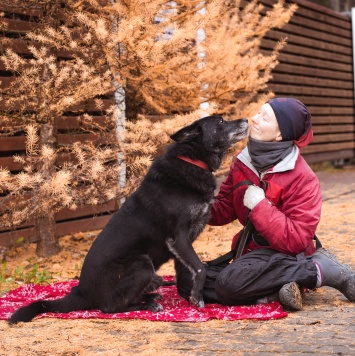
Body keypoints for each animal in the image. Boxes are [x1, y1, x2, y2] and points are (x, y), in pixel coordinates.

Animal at [8, 115, 248, 324]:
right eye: (220, 122)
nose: (245, 119)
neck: (192, 160)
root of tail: (81, 291)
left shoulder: (182, 245)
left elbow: (184, 272)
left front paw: (191, 298)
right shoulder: (178, 236)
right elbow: (199, 267)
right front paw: (197, 297)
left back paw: (150, 297)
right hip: (142, 264)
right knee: (108, 307)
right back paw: (146, 305)